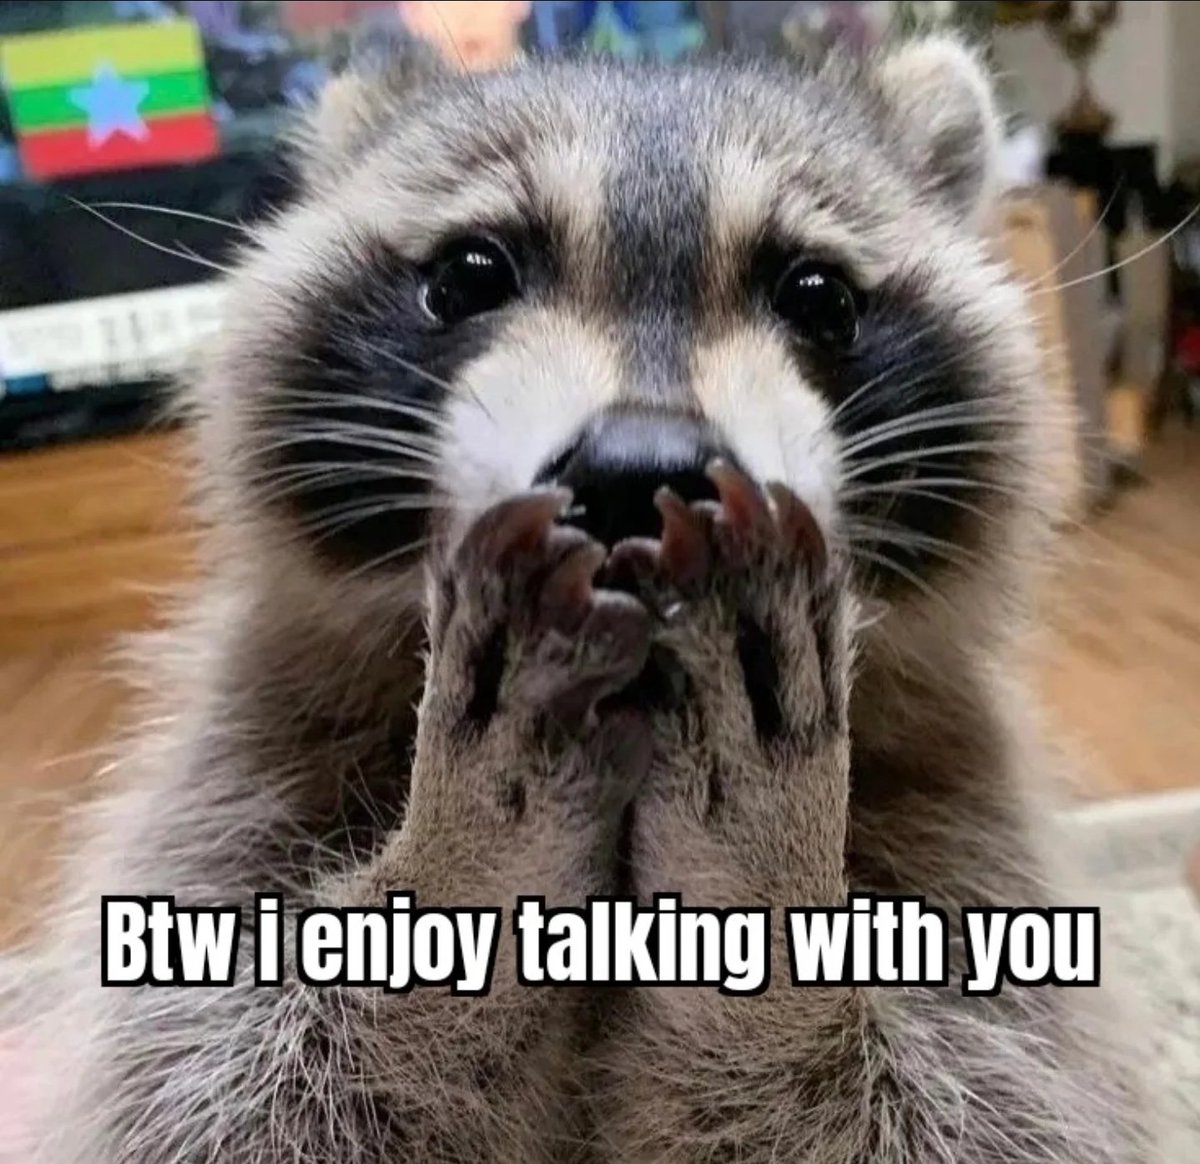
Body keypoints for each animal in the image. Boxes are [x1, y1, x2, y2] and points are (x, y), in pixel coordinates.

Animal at [4, 35, 1152, 1164]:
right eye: (472, 274)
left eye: (818, 295)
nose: (638, 472)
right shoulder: (241, 778)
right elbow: (223, 1091)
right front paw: (466, 856)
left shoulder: (968, 824)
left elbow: (973, 1108)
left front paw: (766, 901)